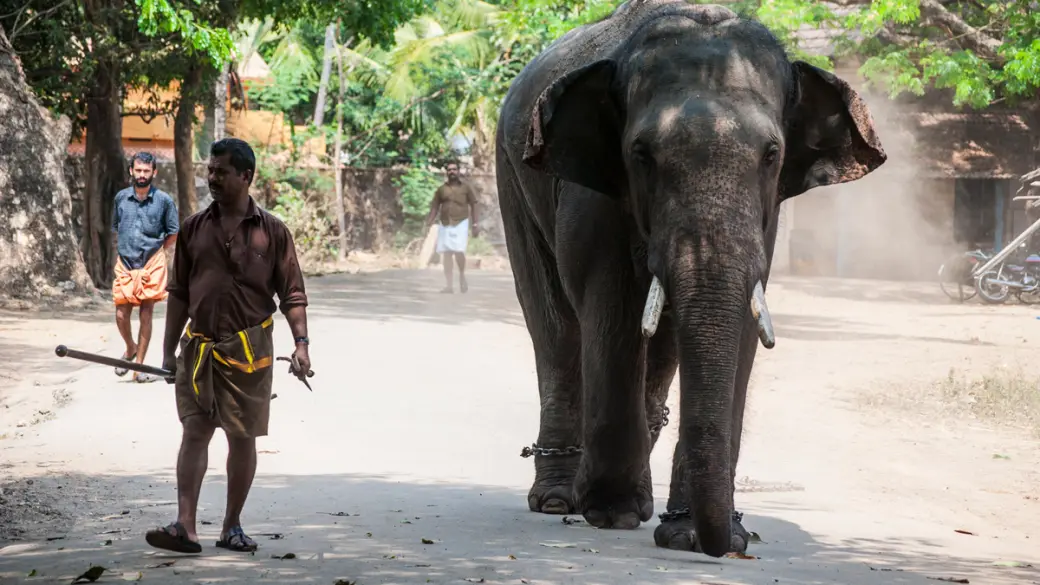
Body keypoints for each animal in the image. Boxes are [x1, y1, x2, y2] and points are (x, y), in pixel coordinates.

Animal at [495, 0, 886, 558]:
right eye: (641, 154)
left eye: (772, 154)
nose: (729, 546)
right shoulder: (592, 191)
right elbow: (610, 305)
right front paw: (612, 512)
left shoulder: (765, 220)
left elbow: (742, 319)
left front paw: (687, 535)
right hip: (511, 174)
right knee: (556, 331)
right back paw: (558, 499)